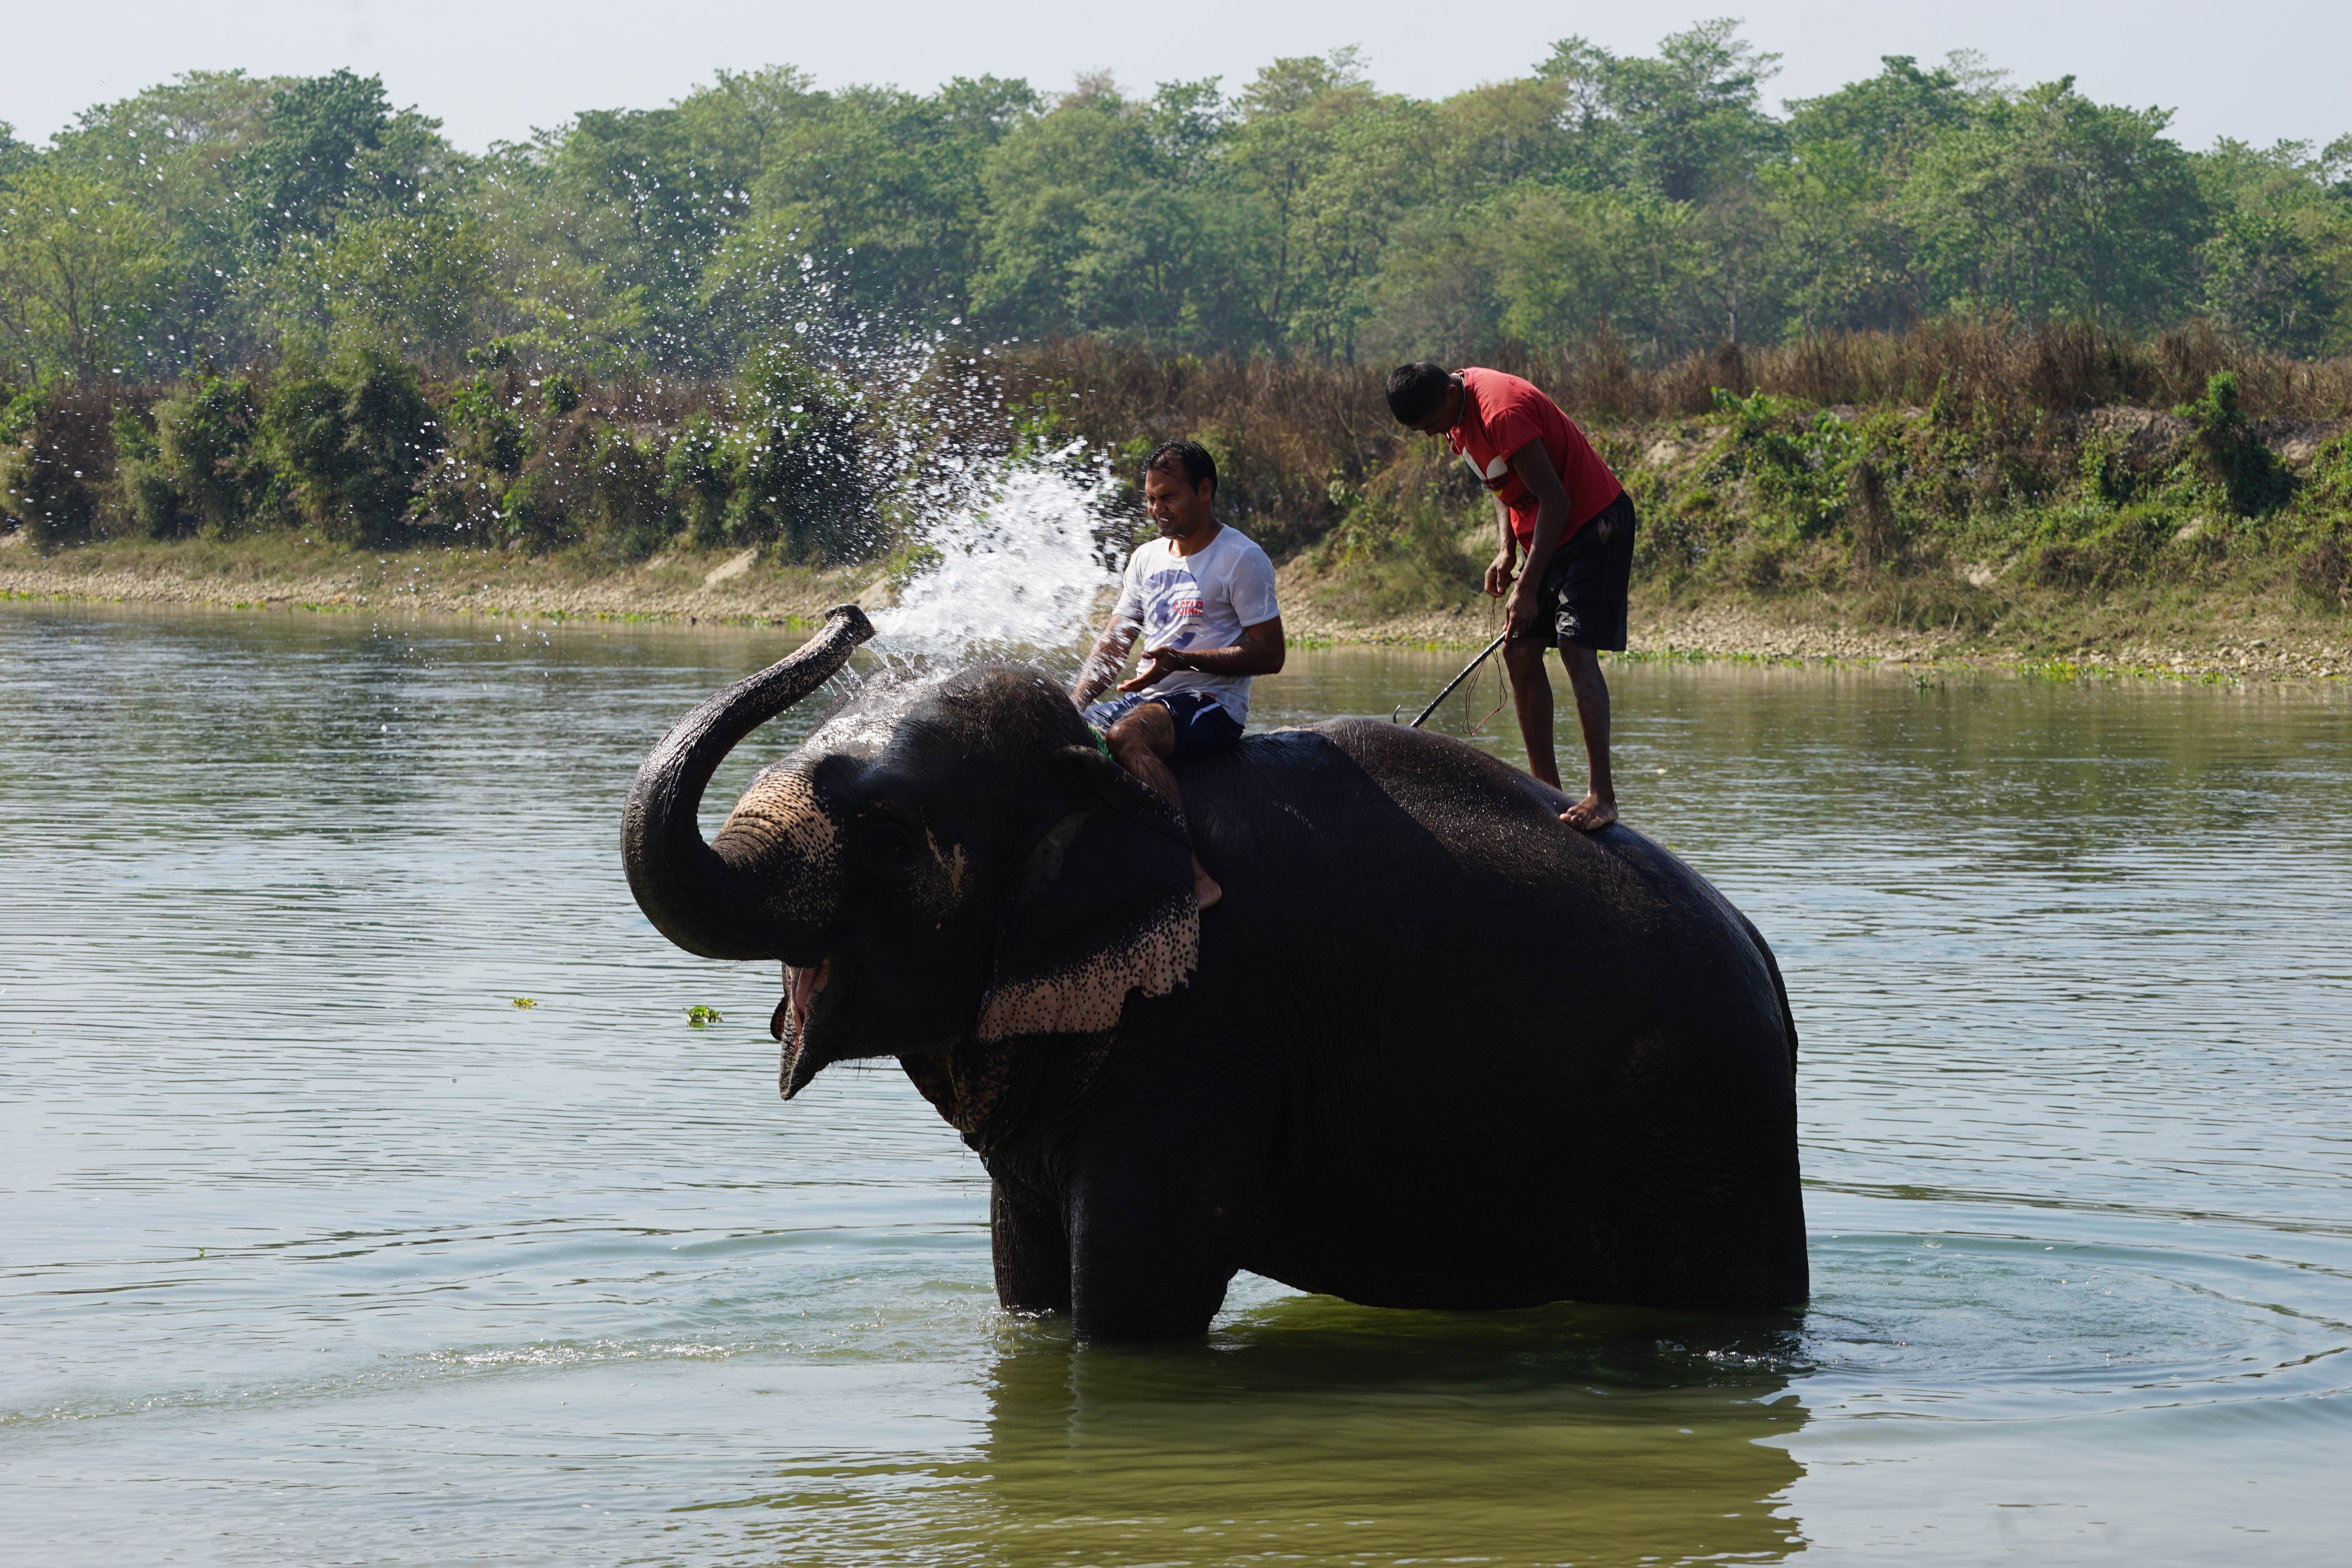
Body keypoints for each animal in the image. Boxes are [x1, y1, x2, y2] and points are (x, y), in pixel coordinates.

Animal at [621, 606, 1797, 1345]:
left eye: (887, 837)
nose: (851, 615)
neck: (1097, 781)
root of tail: (1762, 955)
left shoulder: (1207, 1033)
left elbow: (1141, 1295)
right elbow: (1027, 1283)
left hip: (1700, 1117)